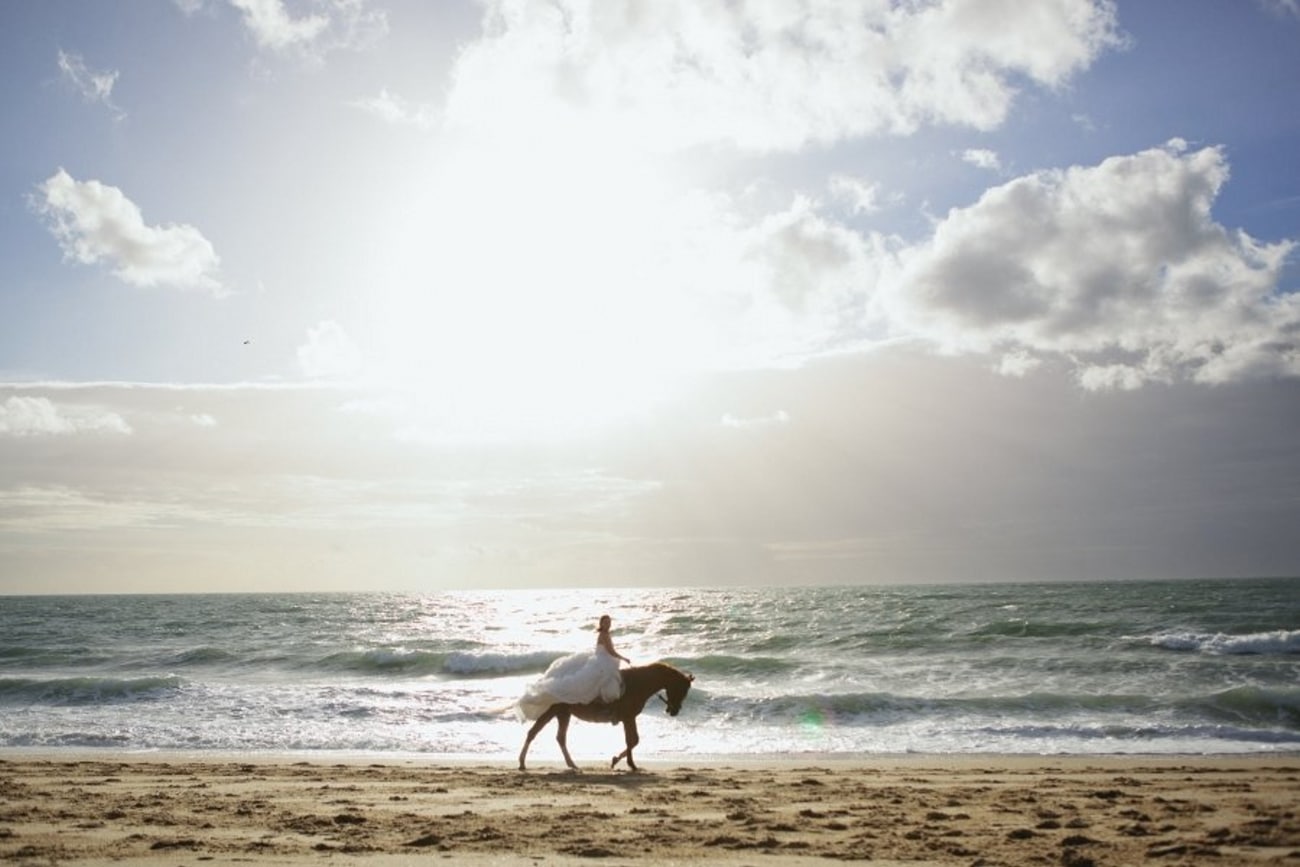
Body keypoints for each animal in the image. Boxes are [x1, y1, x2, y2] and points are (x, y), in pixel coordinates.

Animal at [520, 665, 696, 774]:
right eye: (682, 689)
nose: (674, 711)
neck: (640, 683)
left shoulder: (629, 718)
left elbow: (633, 740)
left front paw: (623, 762)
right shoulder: (628, 718)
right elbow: (632, 740)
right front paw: (623, 762)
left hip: (563, 714)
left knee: (558, 737)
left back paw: (571, 764)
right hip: (553, 712)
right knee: (534, 733)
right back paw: (522, 762)